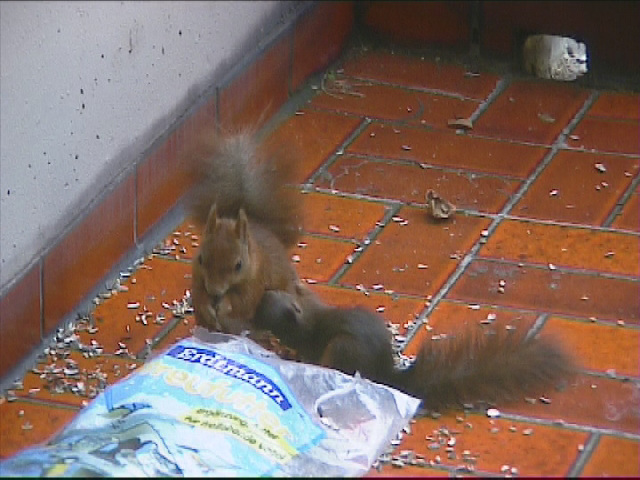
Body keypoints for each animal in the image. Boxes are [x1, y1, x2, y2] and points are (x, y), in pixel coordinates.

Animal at [185, 131, 302, 334]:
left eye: (238, 265)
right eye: (200, 259)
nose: (215, 291)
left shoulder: (257, 280)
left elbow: (243, 301)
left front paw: (224, 306)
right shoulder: (198, 277)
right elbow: (199, 294)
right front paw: (207, 307)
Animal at [254, 284, 576, 412]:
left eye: (267, 302)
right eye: (270, 293)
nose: (264, 290)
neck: (307, 317)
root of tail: (385, 373)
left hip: (341, 349)